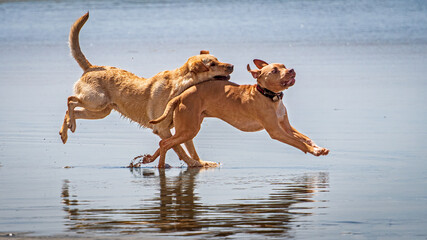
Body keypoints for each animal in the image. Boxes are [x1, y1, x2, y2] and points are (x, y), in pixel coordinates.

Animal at [145, 59, 330, 168]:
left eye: (284, 66)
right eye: (274, 71)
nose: (291, 70)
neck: (269, 96)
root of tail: (181, 95)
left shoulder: (286, 126)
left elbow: (304, 138)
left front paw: (318, 147)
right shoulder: (276, 131)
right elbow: (298, 143)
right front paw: (314, 151)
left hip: (185, 128)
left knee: (165, 142)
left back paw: (149, 160)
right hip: (189, 128)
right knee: (165, 143)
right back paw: (159, 165)